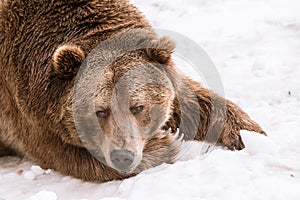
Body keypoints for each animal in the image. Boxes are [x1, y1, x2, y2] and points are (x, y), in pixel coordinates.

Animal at [0, 0, 266, 181]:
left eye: (138, 107)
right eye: (99, 111)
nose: (122, 155)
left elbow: (195, 102)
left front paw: (250, 135)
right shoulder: (28, 112)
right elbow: (68, 154)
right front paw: (165, 143)